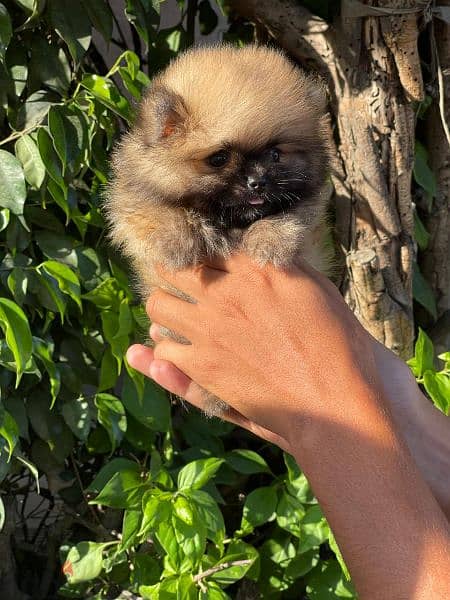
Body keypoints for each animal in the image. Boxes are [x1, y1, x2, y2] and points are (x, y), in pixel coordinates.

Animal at [104, 44, 330, 414]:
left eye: (275, 154)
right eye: (219, 159)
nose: (258, 181)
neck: (228, 222)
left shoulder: (307, 205)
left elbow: (289, 217)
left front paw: (268, 242)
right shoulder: (131, 197)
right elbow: (154, 211)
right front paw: (178, 242)